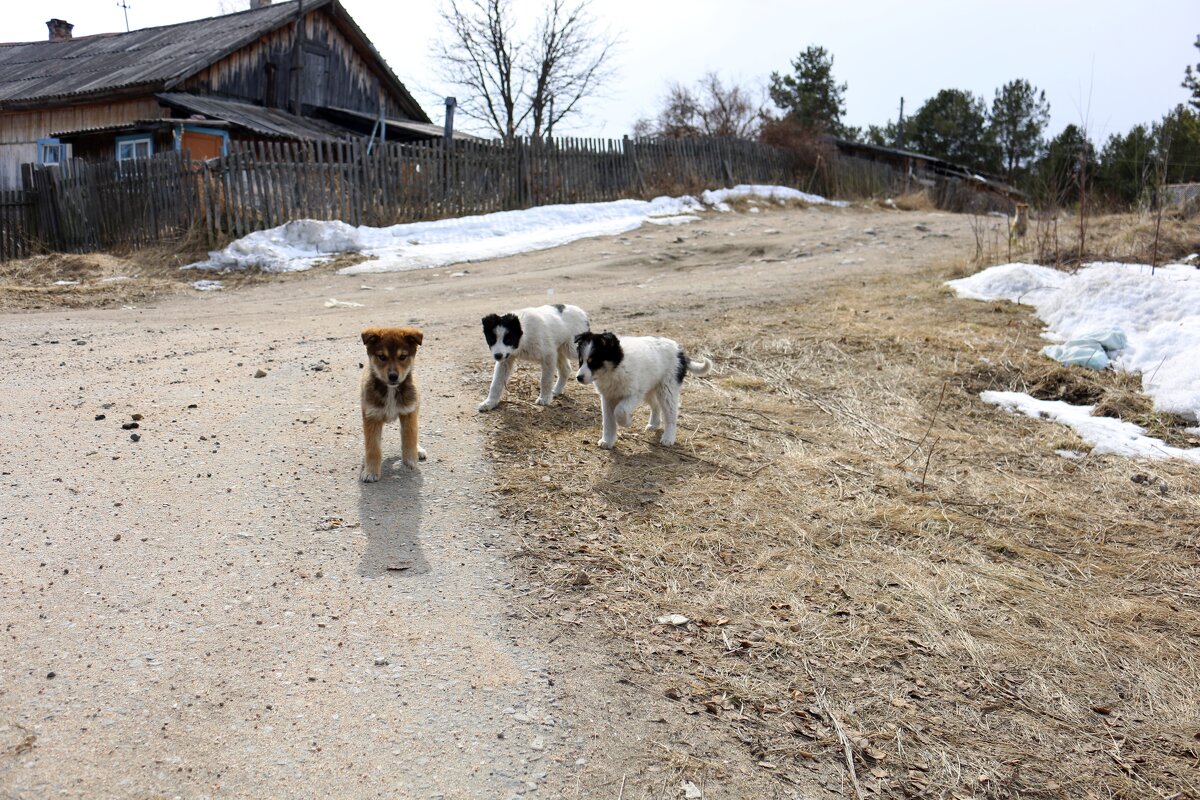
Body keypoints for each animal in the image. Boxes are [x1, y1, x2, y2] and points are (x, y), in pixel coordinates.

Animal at [360, 326, 427, 482]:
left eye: (402, 357)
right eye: (382, 357)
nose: (393, 376)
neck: (390, 390)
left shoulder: (409, 412)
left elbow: (409, 437)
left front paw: (410, 460)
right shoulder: (372, 416)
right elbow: (373, 448)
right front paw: (371, 471)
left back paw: (418, 450)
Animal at [573, 328, 705, 448]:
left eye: (594, 362)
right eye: (581, 361)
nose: (578, 378)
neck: (615, 368)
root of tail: (679, 350)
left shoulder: (634, 394)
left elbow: (620, 411)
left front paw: (627, 423)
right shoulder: (608, 397)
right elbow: (608, 421)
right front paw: (607, 441)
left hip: (667, 389)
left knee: (671, 414)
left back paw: (668, 438)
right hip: (649, 388)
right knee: (656, 405)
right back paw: (654, 424)